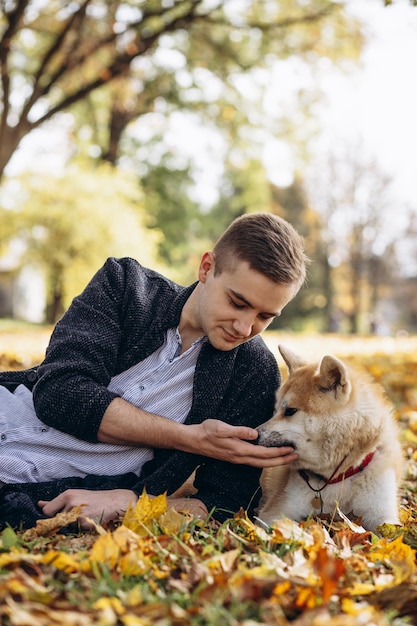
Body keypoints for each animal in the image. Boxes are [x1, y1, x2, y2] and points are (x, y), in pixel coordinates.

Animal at [256, 344, 404, 528]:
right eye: (274, 411)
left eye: (290, 411)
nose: (254, 435)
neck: (338, 477)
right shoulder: (275, 511)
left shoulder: (382, 517)